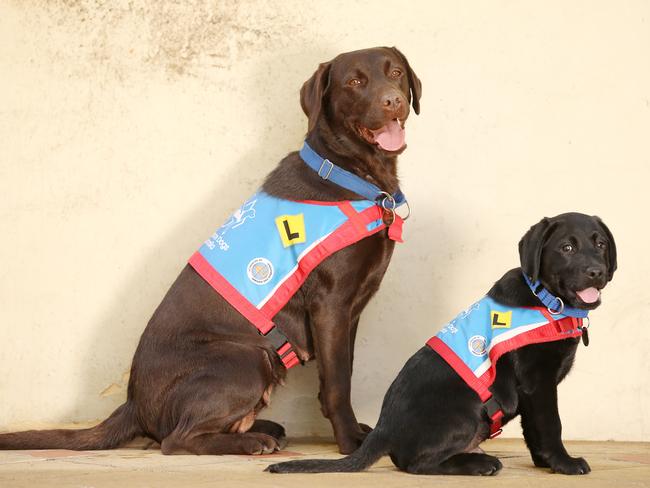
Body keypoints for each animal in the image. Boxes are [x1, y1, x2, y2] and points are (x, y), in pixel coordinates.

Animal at [0, 47, 422, 456]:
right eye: (355, 82)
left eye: (396, 73)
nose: (393, 101)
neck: (352, 173)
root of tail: (133, 403)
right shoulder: (330, 305)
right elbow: (338, 384)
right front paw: (351, 443)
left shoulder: (349, 313)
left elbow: (341, 373)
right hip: (246, 356)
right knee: (174, 440)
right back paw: (251, 442)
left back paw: (264, 430)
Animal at [266, 213, 616, 472]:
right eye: (567, 248)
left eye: (600, 243)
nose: (596, 272)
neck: (546, 300)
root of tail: (383, 428)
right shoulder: (537, 381)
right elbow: (551, 424)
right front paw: (565, 464)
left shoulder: (533, 392)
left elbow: (534, 430)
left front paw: (546, 463)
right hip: (466, 411)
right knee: (412, 463)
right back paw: (479, 464)